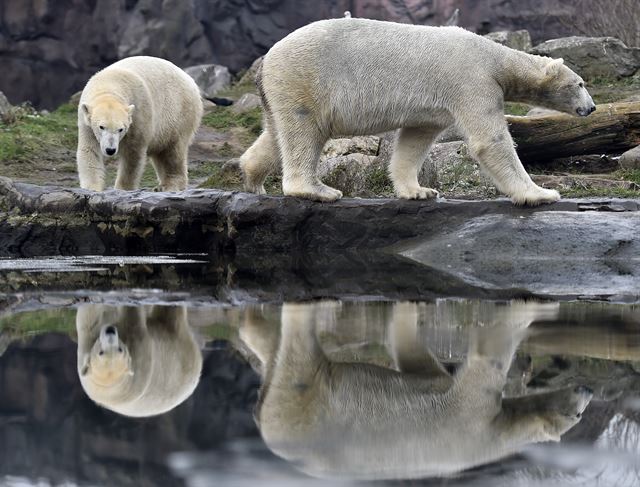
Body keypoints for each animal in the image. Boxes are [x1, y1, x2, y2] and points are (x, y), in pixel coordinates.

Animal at [77, 57, 202, 193]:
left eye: (121, 129)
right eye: (101, 127)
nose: (110, 150)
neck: (109, 85)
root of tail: (190, 79)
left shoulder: (139, 113)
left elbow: (133, 155)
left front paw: (122, 189)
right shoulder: (86, 123)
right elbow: (89, 150)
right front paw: (92, 188)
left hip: (179, 112)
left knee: (173, 151)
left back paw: (170, 185)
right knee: (161, 152)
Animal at [240, 18, 596, 206]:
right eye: (579, 83)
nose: (591, 107)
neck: (494, 56)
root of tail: (266, 61)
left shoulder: (434, 106)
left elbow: (415, 140)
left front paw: (420, 191)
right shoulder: (473, 80)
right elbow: (490, 141)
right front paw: (542, 193)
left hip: (278, 90)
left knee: (276, 133)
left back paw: (254, 180)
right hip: (305, 78)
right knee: (304, 131)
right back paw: (317, 190)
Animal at [241, 302, 596, 480]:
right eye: (578, 415)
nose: (588, 390)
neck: (500, 435)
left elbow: (417, 360)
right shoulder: (475, 420)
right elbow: (485, 363)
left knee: (275, 356)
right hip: (305, 406)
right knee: (299, 354)